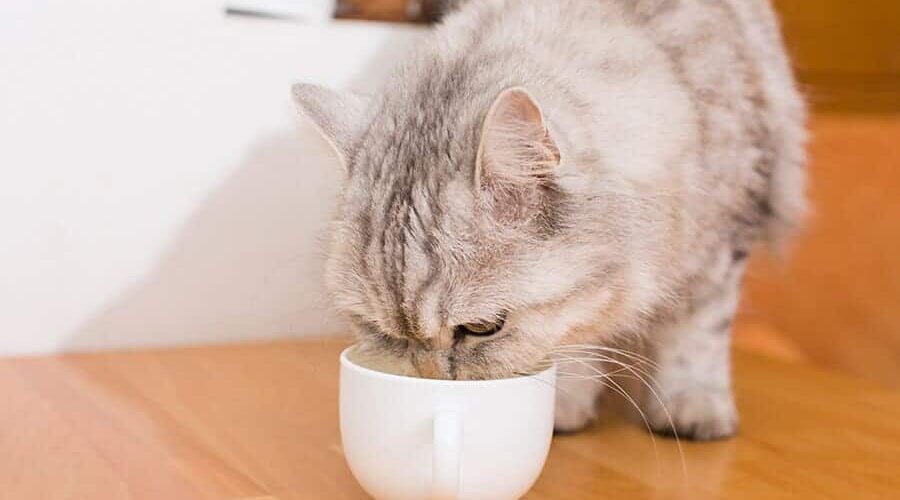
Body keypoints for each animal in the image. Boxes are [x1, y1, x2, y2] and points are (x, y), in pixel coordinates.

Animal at [296, 0, 808, 440]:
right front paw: (567, 404)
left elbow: (697, 334)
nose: (430, 379)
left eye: (481, 328)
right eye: (379, 331)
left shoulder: (723, 238)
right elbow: (577, 338)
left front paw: (693, 407)